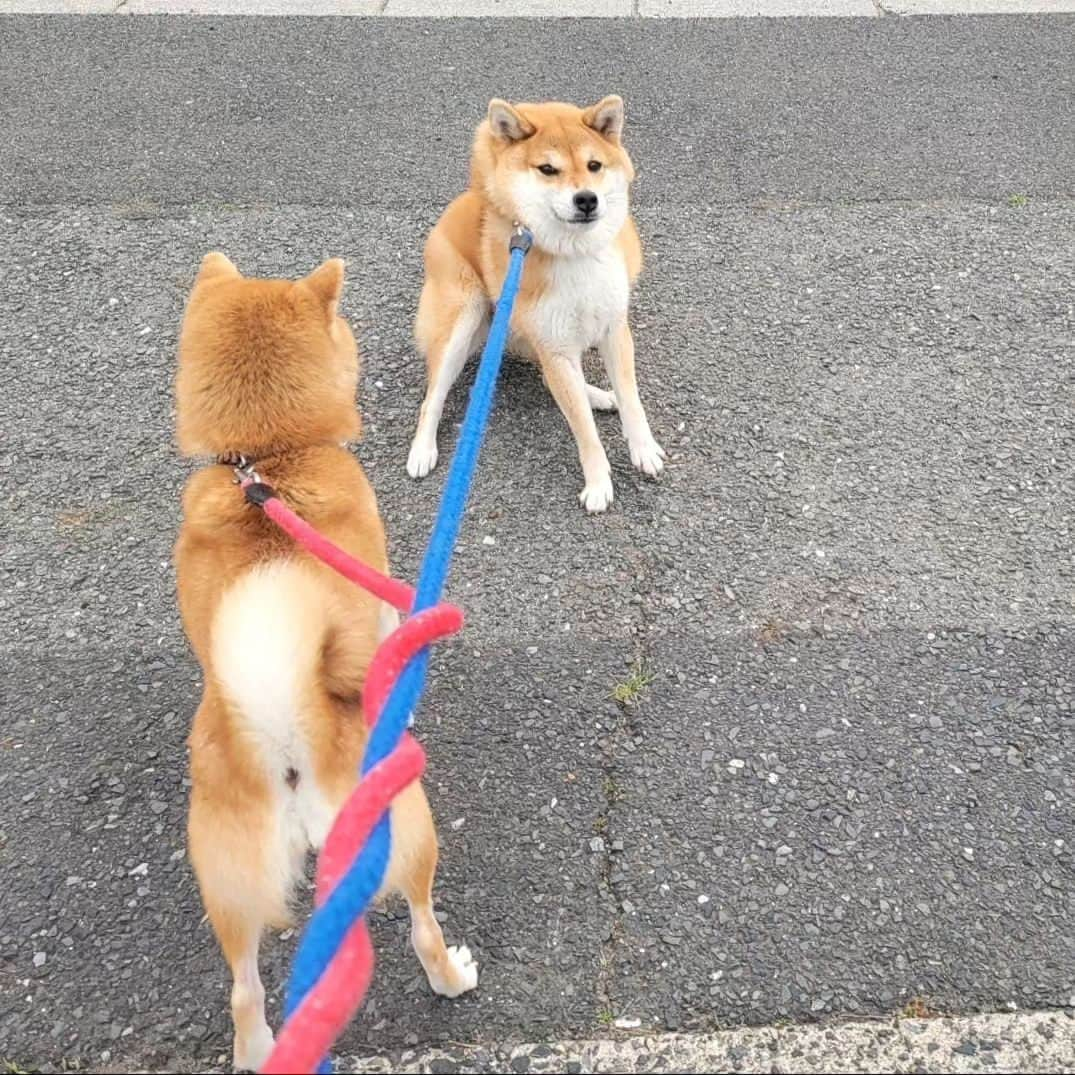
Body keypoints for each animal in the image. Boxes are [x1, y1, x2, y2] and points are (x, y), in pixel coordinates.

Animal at [173, 251, 475, 1066]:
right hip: (405, 830)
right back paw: (453, 975)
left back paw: (256, 1050)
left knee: (245, 990)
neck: (266, 460)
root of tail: (286, 742)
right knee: (422, 927)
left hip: (228, 883)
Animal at [404, 93, 662, 511]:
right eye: (547, 169)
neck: (575, 254)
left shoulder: (613, 330)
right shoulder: (554, 346)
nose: (586, 199)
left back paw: (598, 395)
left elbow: (631, 399)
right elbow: (584, 429)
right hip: (465, 319)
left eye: (594, 165)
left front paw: (643, 448)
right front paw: (598, 483)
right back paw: (422, 450)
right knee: (433, 397)